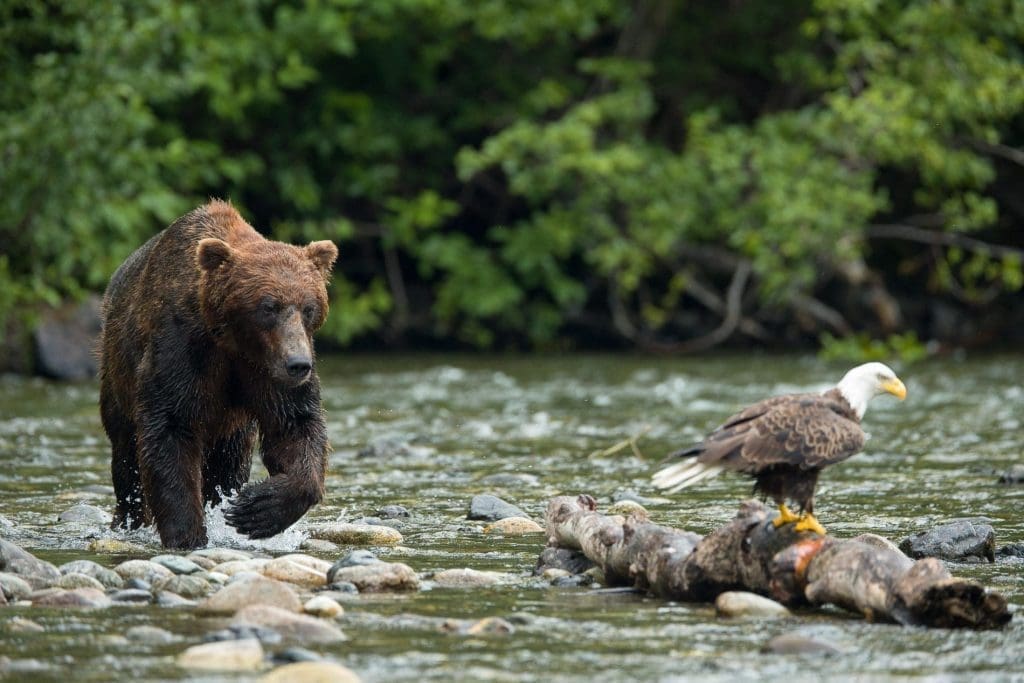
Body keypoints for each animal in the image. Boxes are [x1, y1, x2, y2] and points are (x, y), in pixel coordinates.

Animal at [99, 200, 339, 549]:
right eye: (268, 307)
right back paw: (128, 518)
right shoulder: (181, 350)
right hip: (117, 375)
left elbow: (295, 426)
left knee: (229, 464)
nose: (298, 364)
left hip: (234, 427)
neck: (232, 341)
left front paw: (257, 509)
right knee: (126, 455)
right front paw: (187, 535)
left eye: (309, 307)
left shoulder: (266, 372)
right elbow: (170, 430)